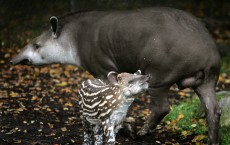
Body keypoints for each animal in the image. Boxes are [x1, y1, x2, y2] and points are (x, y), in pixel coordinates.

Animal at [11, 7, 221, 145]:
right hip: (208, 78)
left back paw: (141, 132)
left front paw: (123, 126)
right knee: (213, 109)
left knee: (162, 106)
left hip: (161, 71)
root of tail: (208, 54)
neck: (73, 38)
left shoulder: (102, 67)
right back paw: (212, 140)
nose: (14, 60)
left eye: (37, 45)